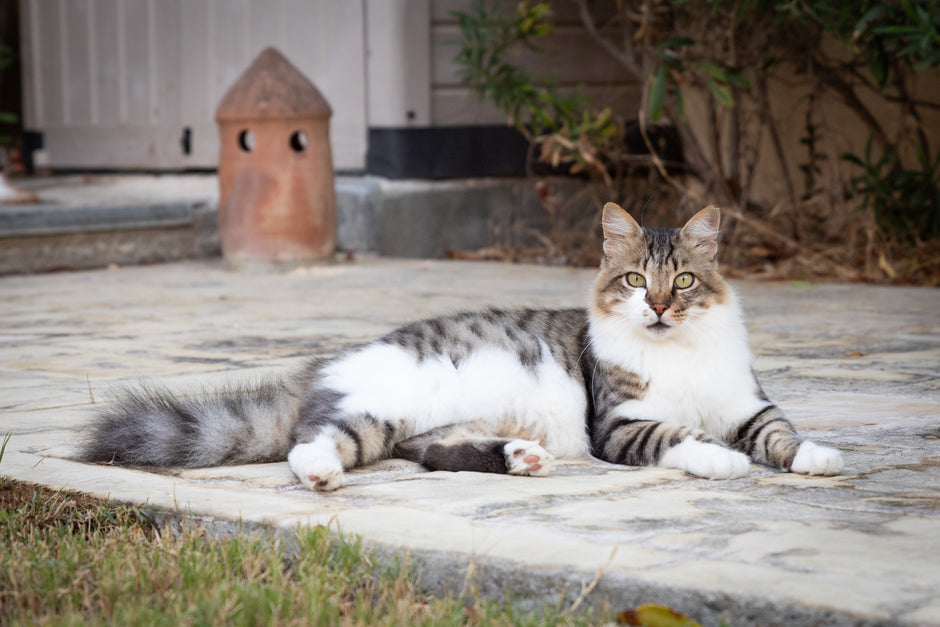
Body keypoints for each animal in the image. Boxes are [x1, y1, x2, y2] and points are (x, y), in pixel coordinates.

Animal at [82, 202, 844, 490]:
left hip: (420, 426)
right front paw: (721, 460)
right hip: (370, 412)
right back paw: (324, 475)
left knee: (435, 453)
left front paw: (815, 457)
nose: (656, 306)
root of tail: (324, 365)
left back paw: (522, 456)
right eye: (635, 280)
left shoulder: (746, 402)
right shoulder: (621, 424)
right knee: (310, 446)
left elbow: (779, 432)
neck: (676, 352)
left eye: (681, 279)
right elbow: (681, 438)